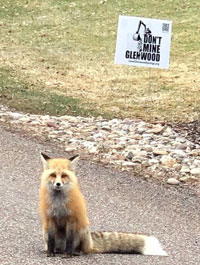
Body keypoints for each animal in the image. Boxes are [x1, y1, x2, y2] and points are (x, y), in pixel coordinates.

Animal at [39, 153, 167, 256]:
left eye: (64, 175)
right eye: (53, 175)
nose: (58, 184)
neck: (59, 203)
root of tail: (91, 243)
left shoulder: (71, 219)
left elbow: (70, 241)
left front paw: (68, 254)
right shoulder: (50, 218)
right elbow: (51, 241)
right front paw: (50, 253)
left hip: (82, 230)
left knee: (83, 250)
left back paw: (76, 252)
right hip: (45, 232)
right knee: (55, 245)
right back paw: (55, 250)